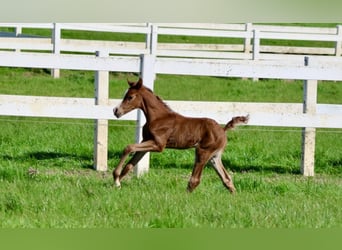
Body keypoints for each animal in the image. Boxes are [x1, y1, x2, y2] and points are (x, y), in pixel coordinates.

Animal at [113, 78, 248, 193]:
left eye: (130, 97)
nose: (116, 111)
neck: (158, 118)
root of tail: (223, 129)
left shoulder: (158, 145)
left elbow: (128, 147)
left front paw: (116, 180)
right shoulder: (146, 142)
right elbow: (129, 165)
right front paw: (117, 183)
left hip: (202, 152)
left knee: (195, 180)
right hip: (214, 156)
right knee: (226, 179)